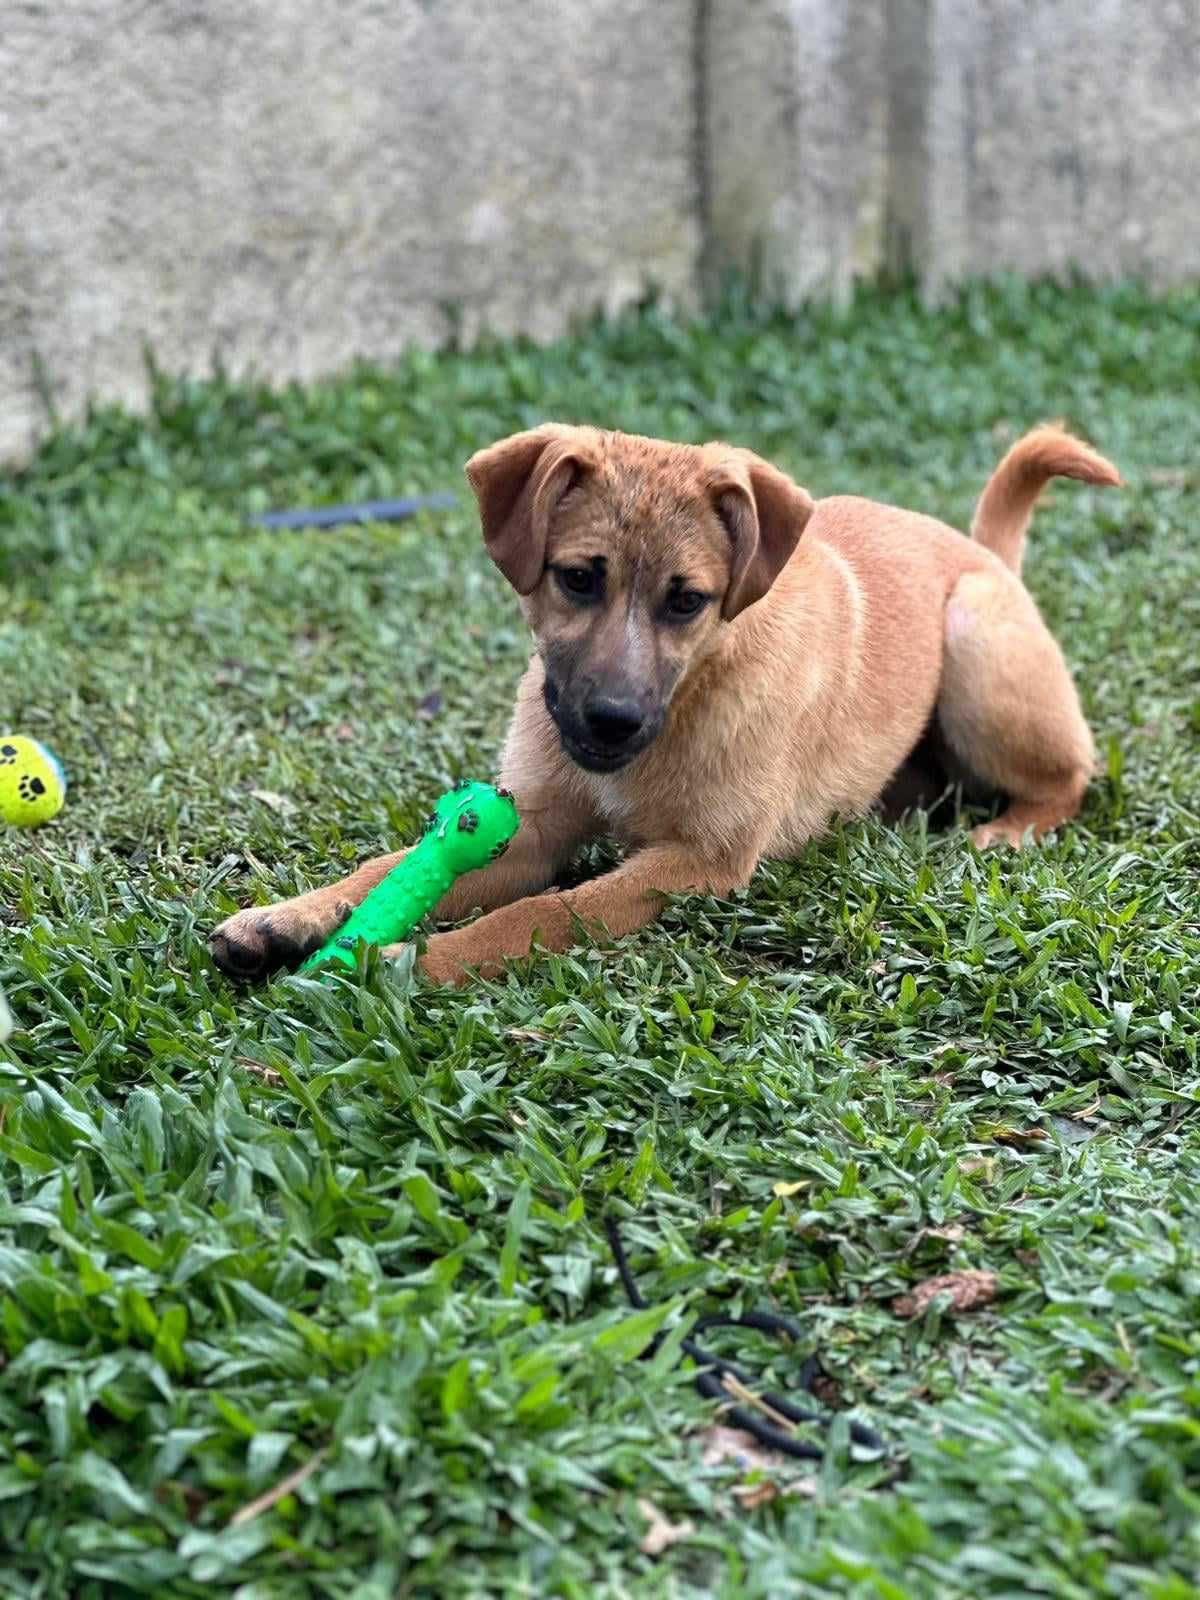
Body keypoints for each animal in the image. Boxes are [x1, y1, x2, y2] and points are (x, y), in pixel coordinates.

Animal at [211, 419, 1126, 979]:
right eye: (578, 578)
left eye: (687, 601)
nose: (609, 723)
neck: (695, 690)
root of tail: (983, 552)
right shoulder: (531, 827)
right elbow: (390, 867)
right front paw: (288, 918)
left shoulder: (701, 861)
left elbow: (545, 914)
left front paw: (414, 964)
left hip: (977, 646)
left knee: (1072, 778)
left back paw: (1010, 831)